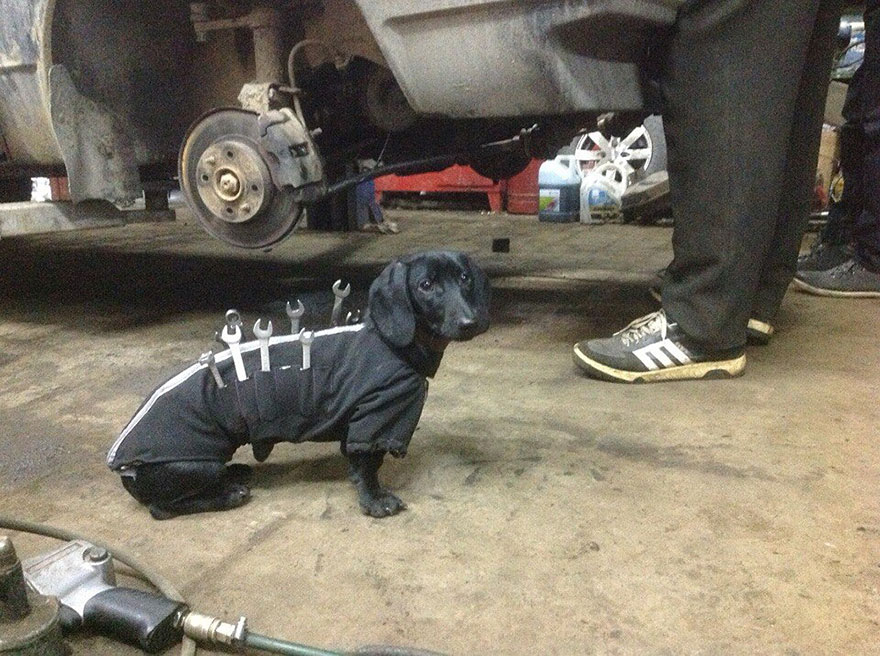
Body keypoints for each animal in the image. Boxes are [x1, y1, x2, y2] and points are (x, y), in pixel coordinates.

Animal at [107, 250, 492, 516]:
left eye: (464, 278)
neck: (390, 343)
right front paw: (375, 500)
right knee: (162, 508)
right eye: (426, 285)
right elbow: (368, 464)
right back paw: (228, 494)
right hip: (196, 465)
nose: (470, 323)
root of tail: (122, 465)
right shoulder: (377, 416)